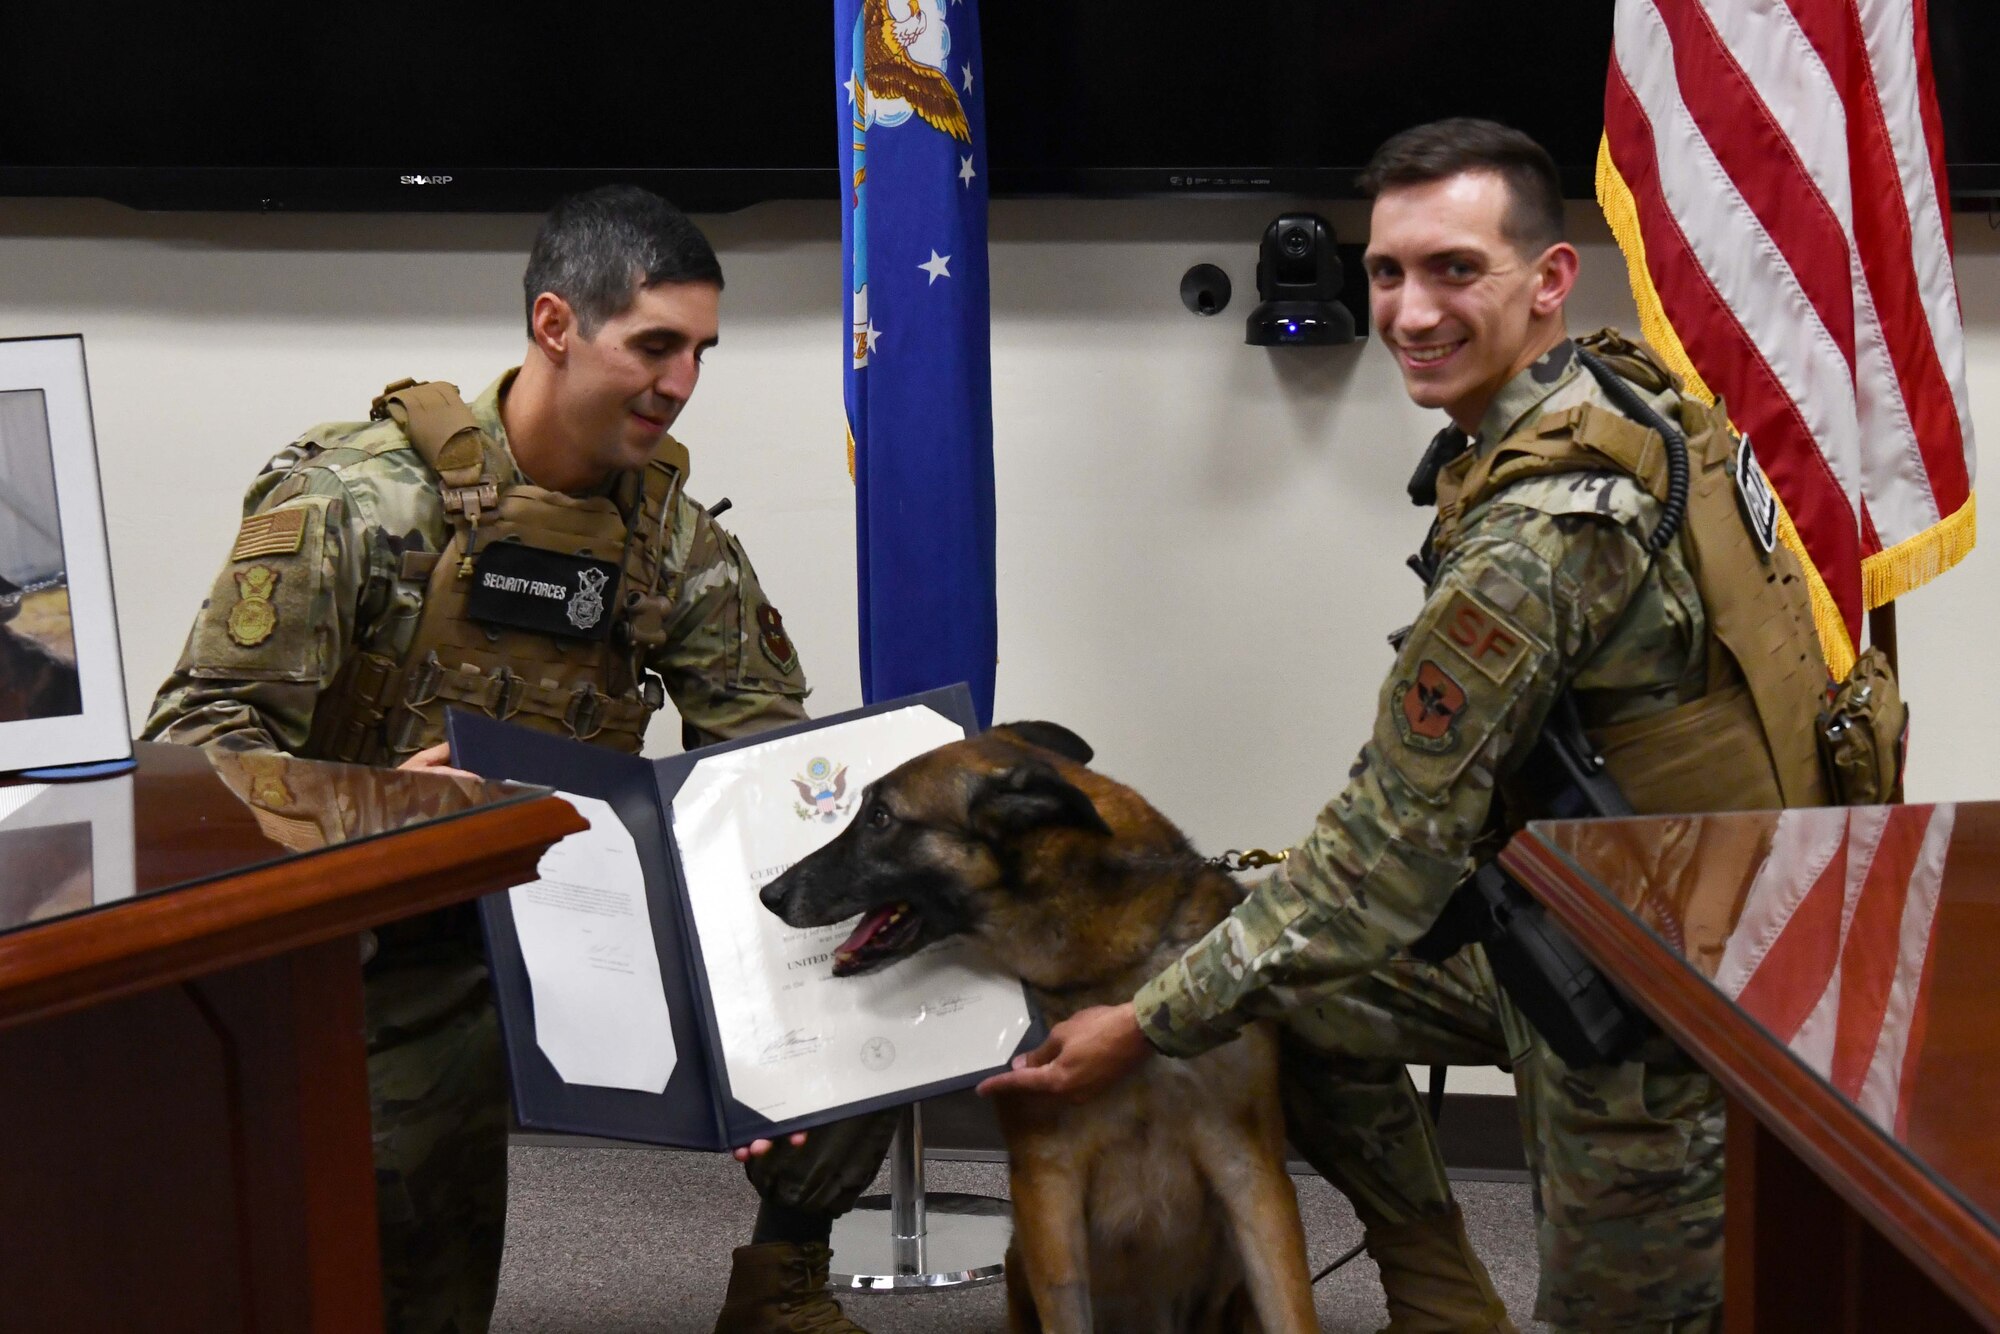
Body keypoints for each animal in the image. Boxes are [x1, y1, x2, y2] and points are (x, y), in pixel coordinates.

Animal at [756, 724, 1320, 1334]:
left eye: (881, 817)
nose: (769, 895)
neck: (1113, 980)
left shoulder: (1252, 1176)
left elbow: (1291, 1310)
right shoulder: (1048, 1187)